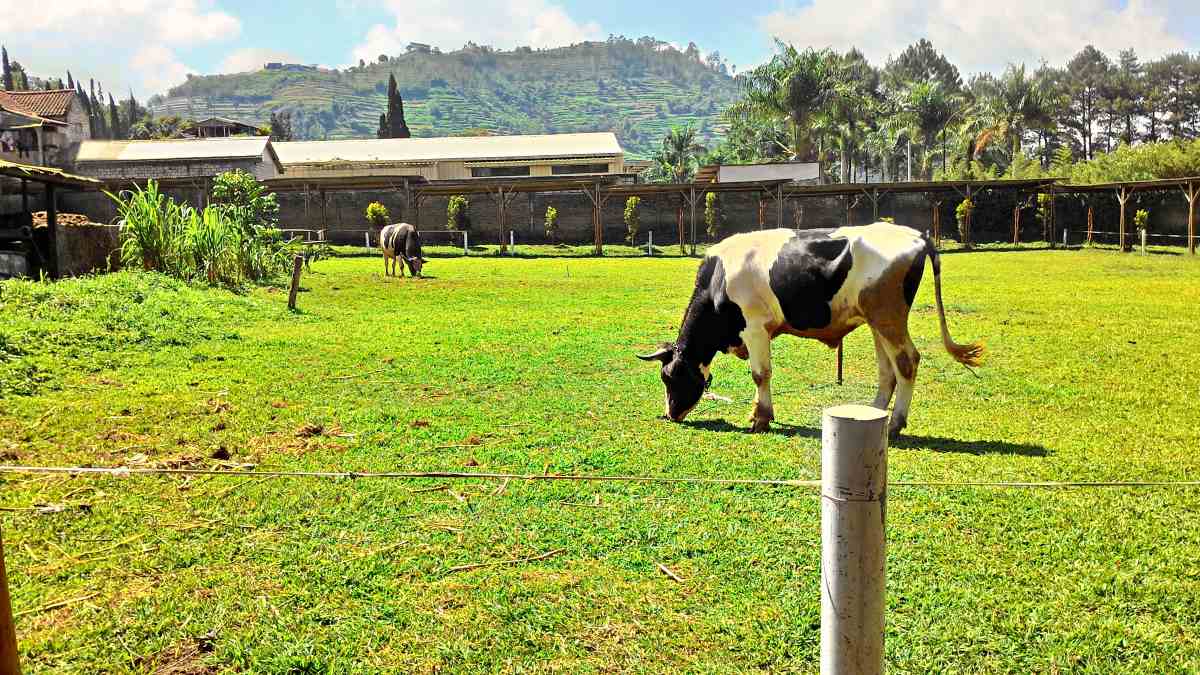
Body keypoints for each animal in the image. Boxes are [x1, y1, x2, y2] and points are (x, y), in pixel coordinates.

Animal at [638, 222, 984, 437]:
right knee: (888, 369)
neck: (719, 280)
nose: (671, 413)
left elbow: (760, 374)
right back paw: (874, 413)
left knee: (907, 362)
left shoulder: (755, 328)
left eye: (672, 377)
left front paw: (761, 418)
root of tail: (917, 235)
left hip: (888, 317)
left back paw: (895, 423)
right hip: (877, 322)